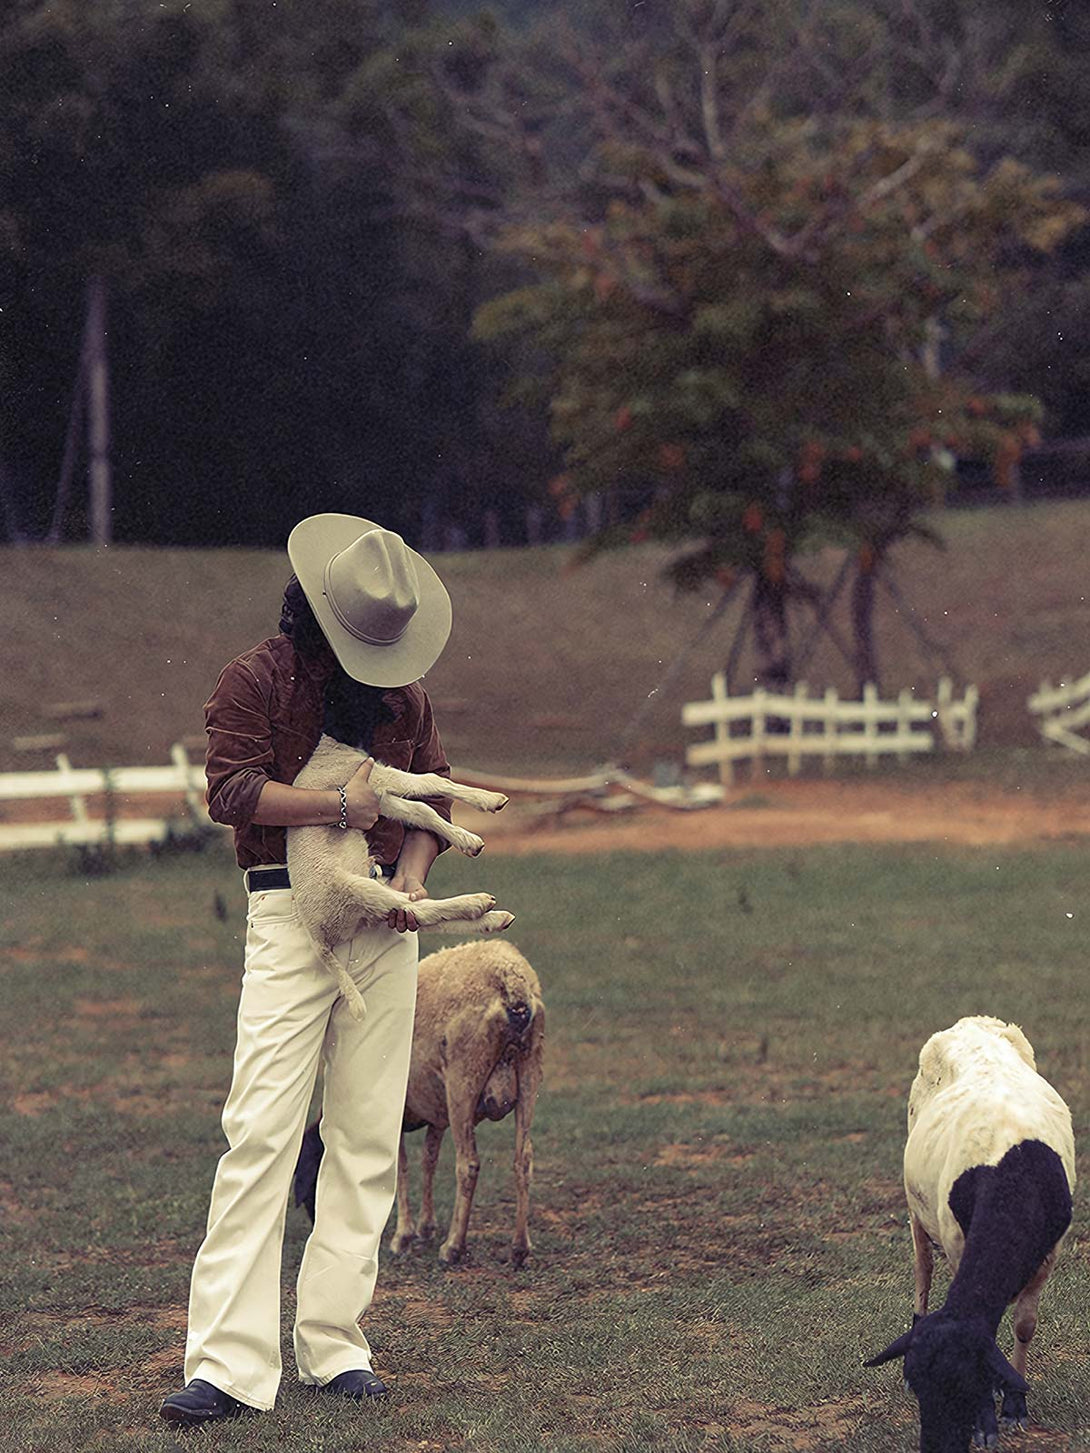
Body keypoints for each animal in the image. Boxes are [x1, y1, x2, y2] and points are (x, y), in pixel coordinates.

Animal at [287, 732, 514, 1017]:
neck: (330, 749)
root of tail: (318, 940)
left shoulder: (377, 797)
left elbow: (420, 811)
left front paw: (468, 840)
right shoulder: (373, 780)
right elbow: (430, 781)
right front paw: (491, 799)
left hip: (371, 902)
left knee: (420, 915)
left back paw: (494, 919)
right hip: (353, 891)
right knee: (418, 910)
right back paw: (476, 903)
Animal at [295, 935, 546, 1267]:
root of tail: (510, 977)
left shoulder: (397, 1114)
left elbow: (400, 1168)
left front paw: (403, 1236)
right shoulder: (435, 1111)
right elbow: (428, 1160)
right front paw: (426, 1227)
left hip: (463, 1081)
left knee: (468, 1164)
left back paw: (454, 1247)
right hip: (530, 1072)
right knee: (523, 1159)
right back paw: (520, 1248)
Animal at [866, 1022, 1081, 1453]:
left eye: (964, 1385)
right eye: (920, 1388)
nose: (937, 1445)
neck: (1012, 1176)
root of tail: (972, 1022)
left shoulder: (1048, 1256)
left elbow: (1024, 1326)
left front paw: (1014, 1404)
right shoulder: (955, 1244)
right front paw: (987, 1422)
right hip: (916, 1211)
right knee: (922, 1270)